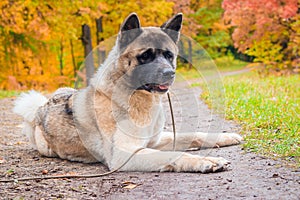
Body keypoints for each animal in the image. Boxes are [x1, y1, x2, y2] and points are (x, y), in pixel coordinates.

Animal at [14, 12, 243, 173]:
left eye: (169, 55)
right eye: (145, 56)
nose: (169, 73)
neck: (138, 100)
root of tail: (40, 108)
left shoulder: (155, 141)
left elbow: (194, 135)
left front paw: (224, 137)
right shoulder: (126, 154)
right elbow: (175, 155)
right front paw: (206, 161)